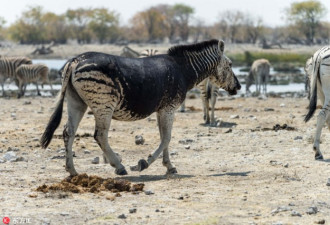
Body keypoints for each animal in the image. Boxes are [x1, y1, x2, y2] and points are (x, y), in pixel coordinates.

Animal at [41, 39, 241, 177]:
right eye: (231, 65)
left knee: (68, 132)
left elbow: (164, 137)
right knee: (100, 135)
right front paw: (145, 163)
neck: (183, 70)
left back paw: (72, 170)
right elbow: (167, 138)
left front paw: (169, 166)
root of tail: (75, 60)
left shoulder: (162, 109)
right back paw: (119, 167)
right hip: (104, 104)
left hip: (76, 102)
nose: (238, 87)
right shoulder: (169, 108)